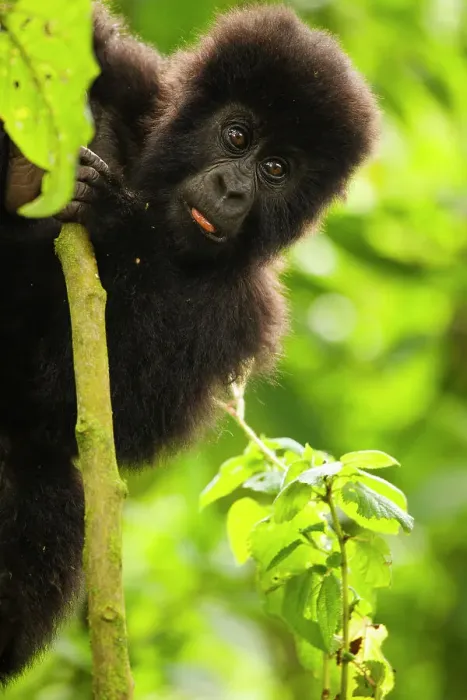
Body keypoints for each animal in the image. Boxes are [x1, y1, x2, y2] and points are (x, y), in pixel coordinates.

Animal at [0, 2, 379, 682]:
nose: (232, 190)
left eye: (276, 169)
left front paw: (112, 217)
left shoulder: (245, 313)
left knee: (48, 483)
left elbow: (88, 412)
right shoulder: (135, 82)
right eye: (237, 137)